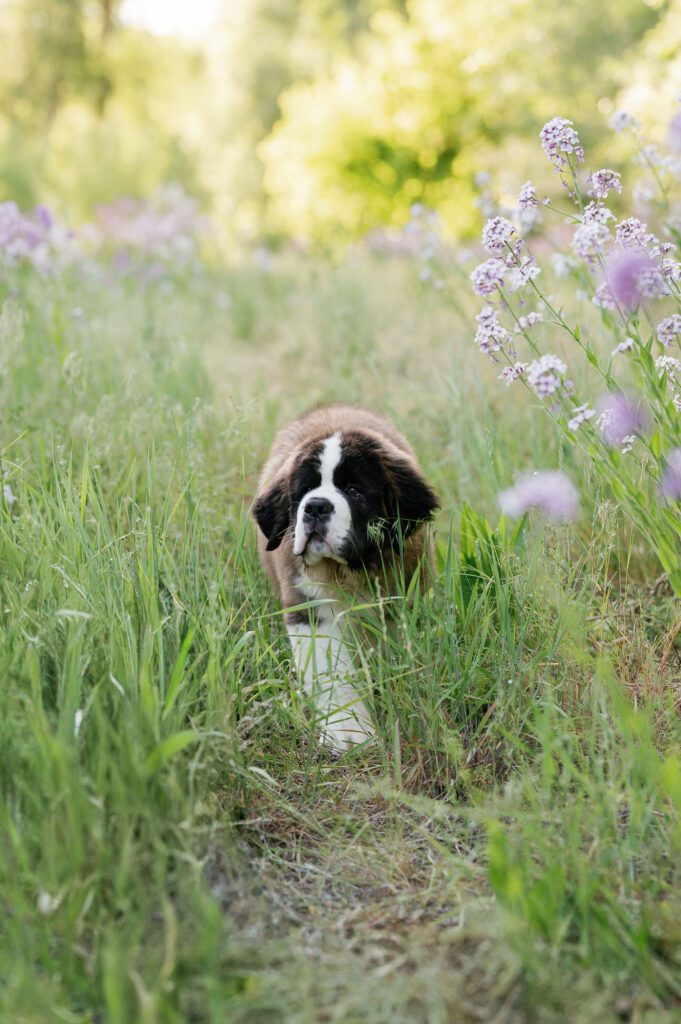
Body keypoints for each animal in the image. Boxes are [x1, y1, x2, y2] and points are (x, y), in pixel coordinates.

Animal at [251, 401, 438, 753]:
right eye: (304, 491)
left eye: (354, 490)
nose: (315, 507)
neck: (349, 569)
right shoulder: (309, 610)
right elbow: (332, 673)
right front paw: (349, 731)